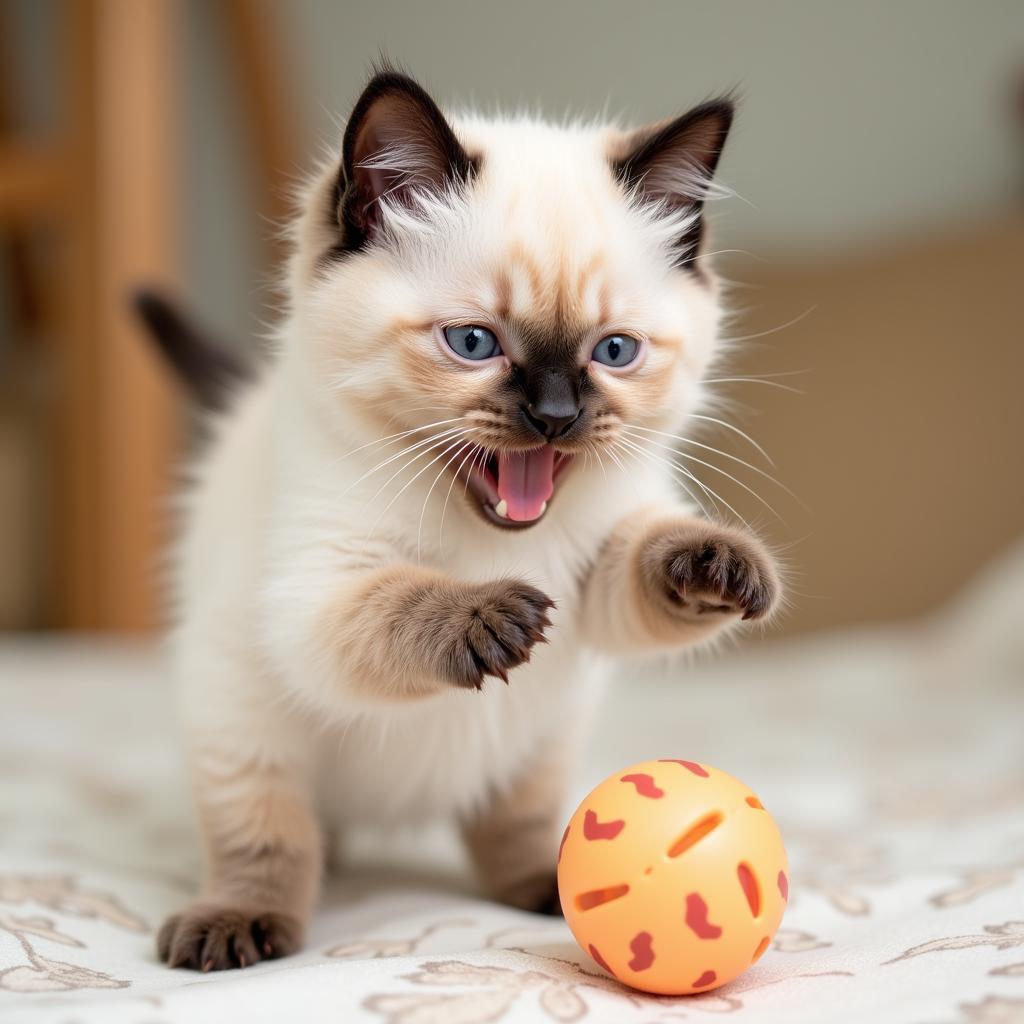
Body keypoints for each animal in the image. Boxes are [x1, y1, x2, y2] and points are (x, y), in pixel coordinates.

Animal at [157, 70, 782, 966]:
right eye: (475, 343)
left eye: (614, 352)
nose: (555, 416)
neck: (492, 535)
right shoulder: (312, 591)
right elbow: (399, 601)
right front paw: (491, 619)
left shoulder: (593, 577)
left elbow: (643, 561)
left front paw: (718, 566)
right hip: (240, 724)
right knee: (276, 839)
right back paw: (238, 923)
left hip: (540, 736)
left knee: (509, 827)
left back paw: (551, 889)